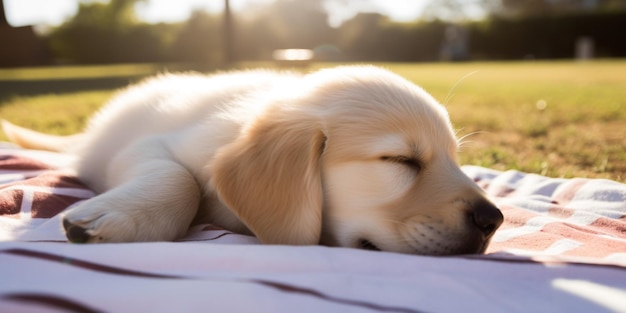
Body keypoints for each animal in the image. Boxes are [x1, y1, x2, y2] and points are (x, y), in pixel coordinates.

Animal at [1, 65, 502, 254]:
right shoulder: (150, 146)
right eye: (400, 160)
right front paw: (121, 216)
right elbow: (179, 177)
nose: (493, 219)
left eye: (457, 161)